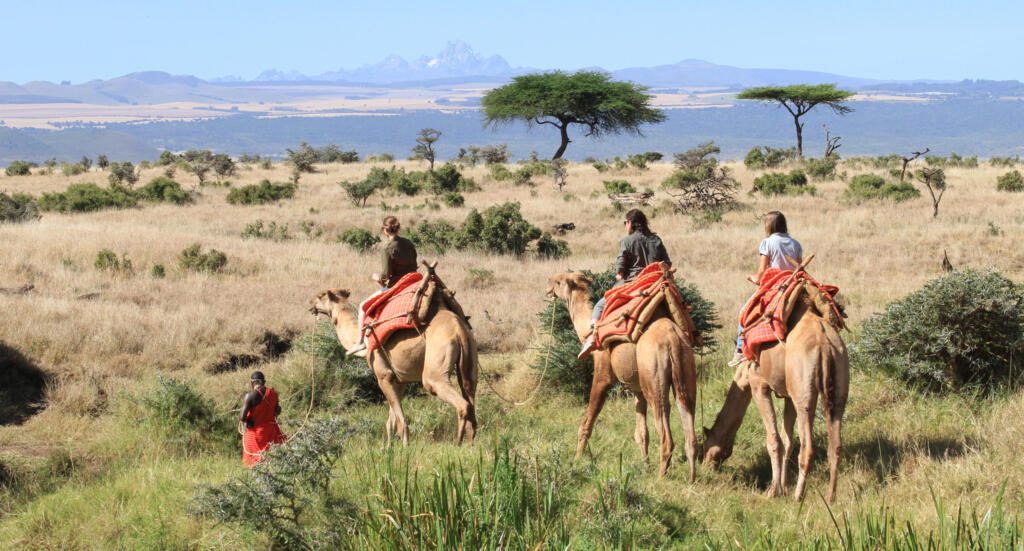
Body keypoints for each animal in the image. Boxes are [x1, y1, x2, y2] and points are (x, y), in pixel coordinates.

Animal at [310, 288, 478, 445]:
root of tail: (458, 330)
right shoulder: (399, 380)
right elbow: (390, 421)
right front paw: (389, 448)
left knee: (458, 401)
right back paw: (470, 445)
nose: (312, 307)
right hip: (469, 357)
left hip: (435, 365)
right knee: (469, 392)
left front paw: (404, 449)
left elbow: (400, 421)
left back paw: (457, 444)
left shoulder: (384, 376)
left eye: (320, 296)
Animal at [546, 272, 699, 480]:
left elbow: (587, 423)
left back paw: (660, 478)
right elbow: (642, 433)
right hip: (686, 368)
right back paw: (691, 478)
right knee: (688, 420)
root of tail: (672, 339)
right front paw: (645, 467)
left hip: (654, 376)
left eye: (559, 281)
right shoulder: (637, 389)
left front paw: (576, 461)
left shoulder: (603, 372)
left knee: (665, 431)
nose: (548, 286)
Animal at [703, 300, 849, 502]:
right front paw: (784, 487)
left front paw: (773, 491)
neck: (743, 374)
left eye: (705, 445)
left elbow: (774, 441)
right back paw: (830, 497)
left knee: (807, 447)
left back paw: (798, 496)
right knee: (835, 444)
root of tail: (824, 343)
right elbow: (787, 441)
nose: (706, 465)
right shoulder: (788, 395)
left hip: (804, 390)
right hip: (838, 379)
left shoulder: (758, 384)